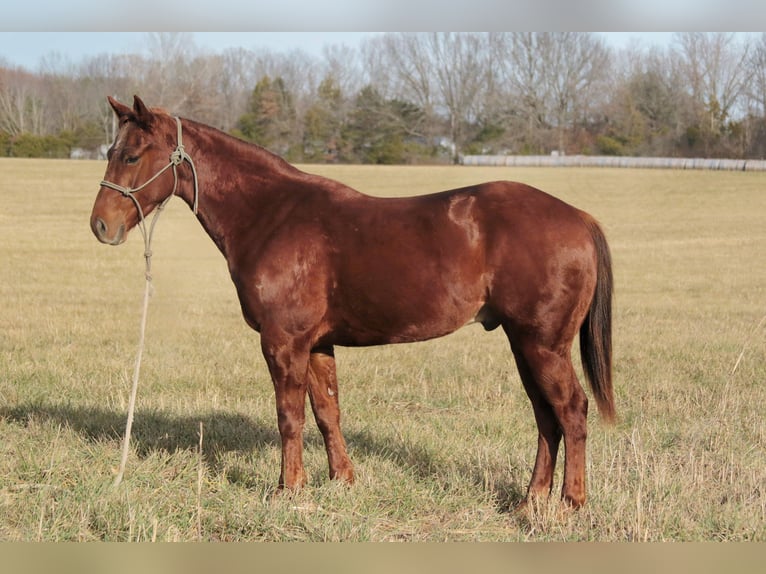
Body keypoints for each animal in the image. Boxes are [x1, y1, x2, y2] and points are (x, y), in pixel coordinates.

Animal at [90, 95, 614, 509]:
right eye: (111, 152)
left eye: (133, 156)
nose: (100, 226)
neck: (271, 215)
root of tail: (580, 218)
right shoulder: (318, 344)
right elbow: (327, 411)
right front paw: (341, 480)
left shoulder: (283, 342)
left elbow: (290, 416)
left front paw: (288, 489)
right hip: (525, 343)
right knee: (546, 416)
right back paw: (531, 501)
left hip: (542, 344)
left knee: (571, 409)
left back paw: (570, 503)